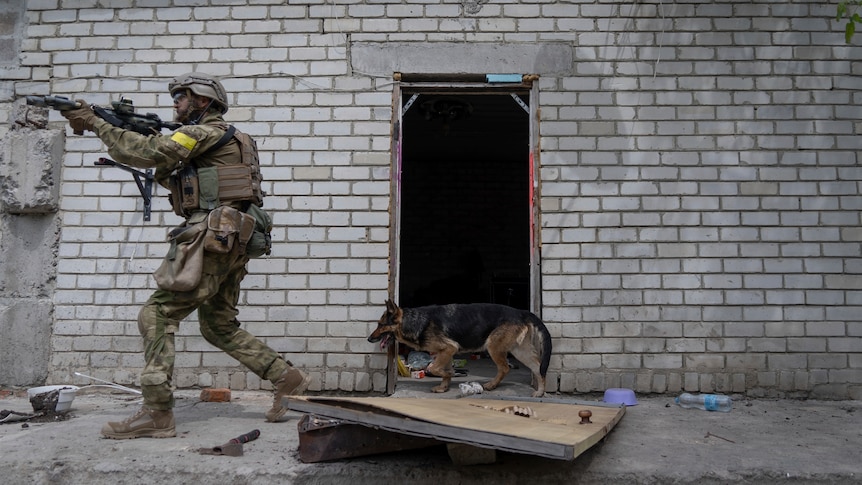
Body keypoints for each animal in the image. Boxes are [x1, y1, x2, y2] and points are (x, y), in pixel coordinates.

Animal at [366, 298, 552, 398]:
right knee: (538, 367)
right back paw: (540, 392)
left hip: (493, 346)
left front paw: (448, 375)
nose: (369, 339)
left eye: (380, 325)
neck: (414, 321)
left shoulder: (449, 348)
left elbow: (434, 368)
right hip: (519, 351)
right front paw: (444, 386)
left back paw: (492, 385)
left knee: (505, 367)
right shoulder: (446, 352)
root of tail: (521, 312)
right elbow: (441, 370)